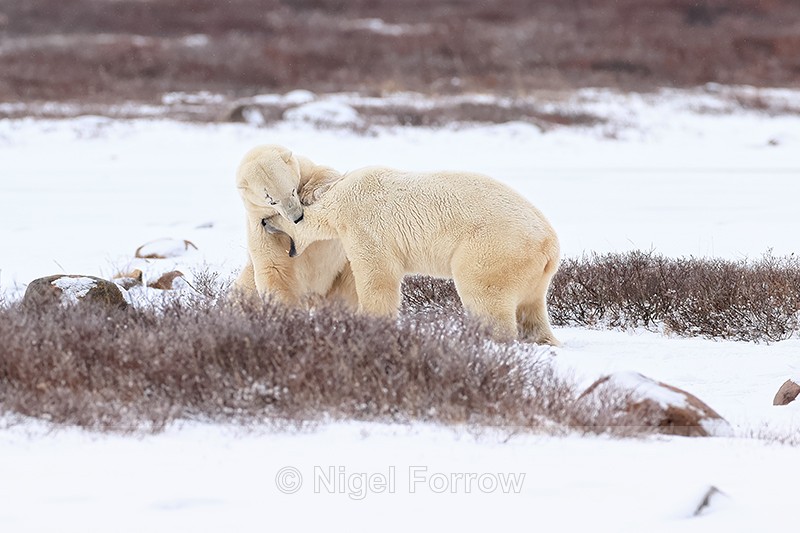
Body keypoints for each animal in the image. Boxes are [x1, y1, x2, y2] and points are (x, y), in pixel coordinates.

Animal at [233, 144, 357, 309]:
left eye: (292, 190)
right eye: (272, 200)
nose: (297, 217)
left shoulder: (304, 168)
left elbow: (325, 172)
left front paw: (309, 194)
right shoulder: (260, 225)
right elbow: (273, 268)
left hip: (342, 268)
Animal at [263, 164, 561, 345]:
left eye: (277, 212)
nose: (264, 222)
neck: (338, 197)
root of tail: (549, 244)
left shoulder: (364, 224)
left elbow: (377, 277)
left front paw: (370, 324)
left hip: (493, 249)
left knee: (484, 295)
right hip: (534, 272)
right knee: (532, 309)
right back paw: (543, 339)